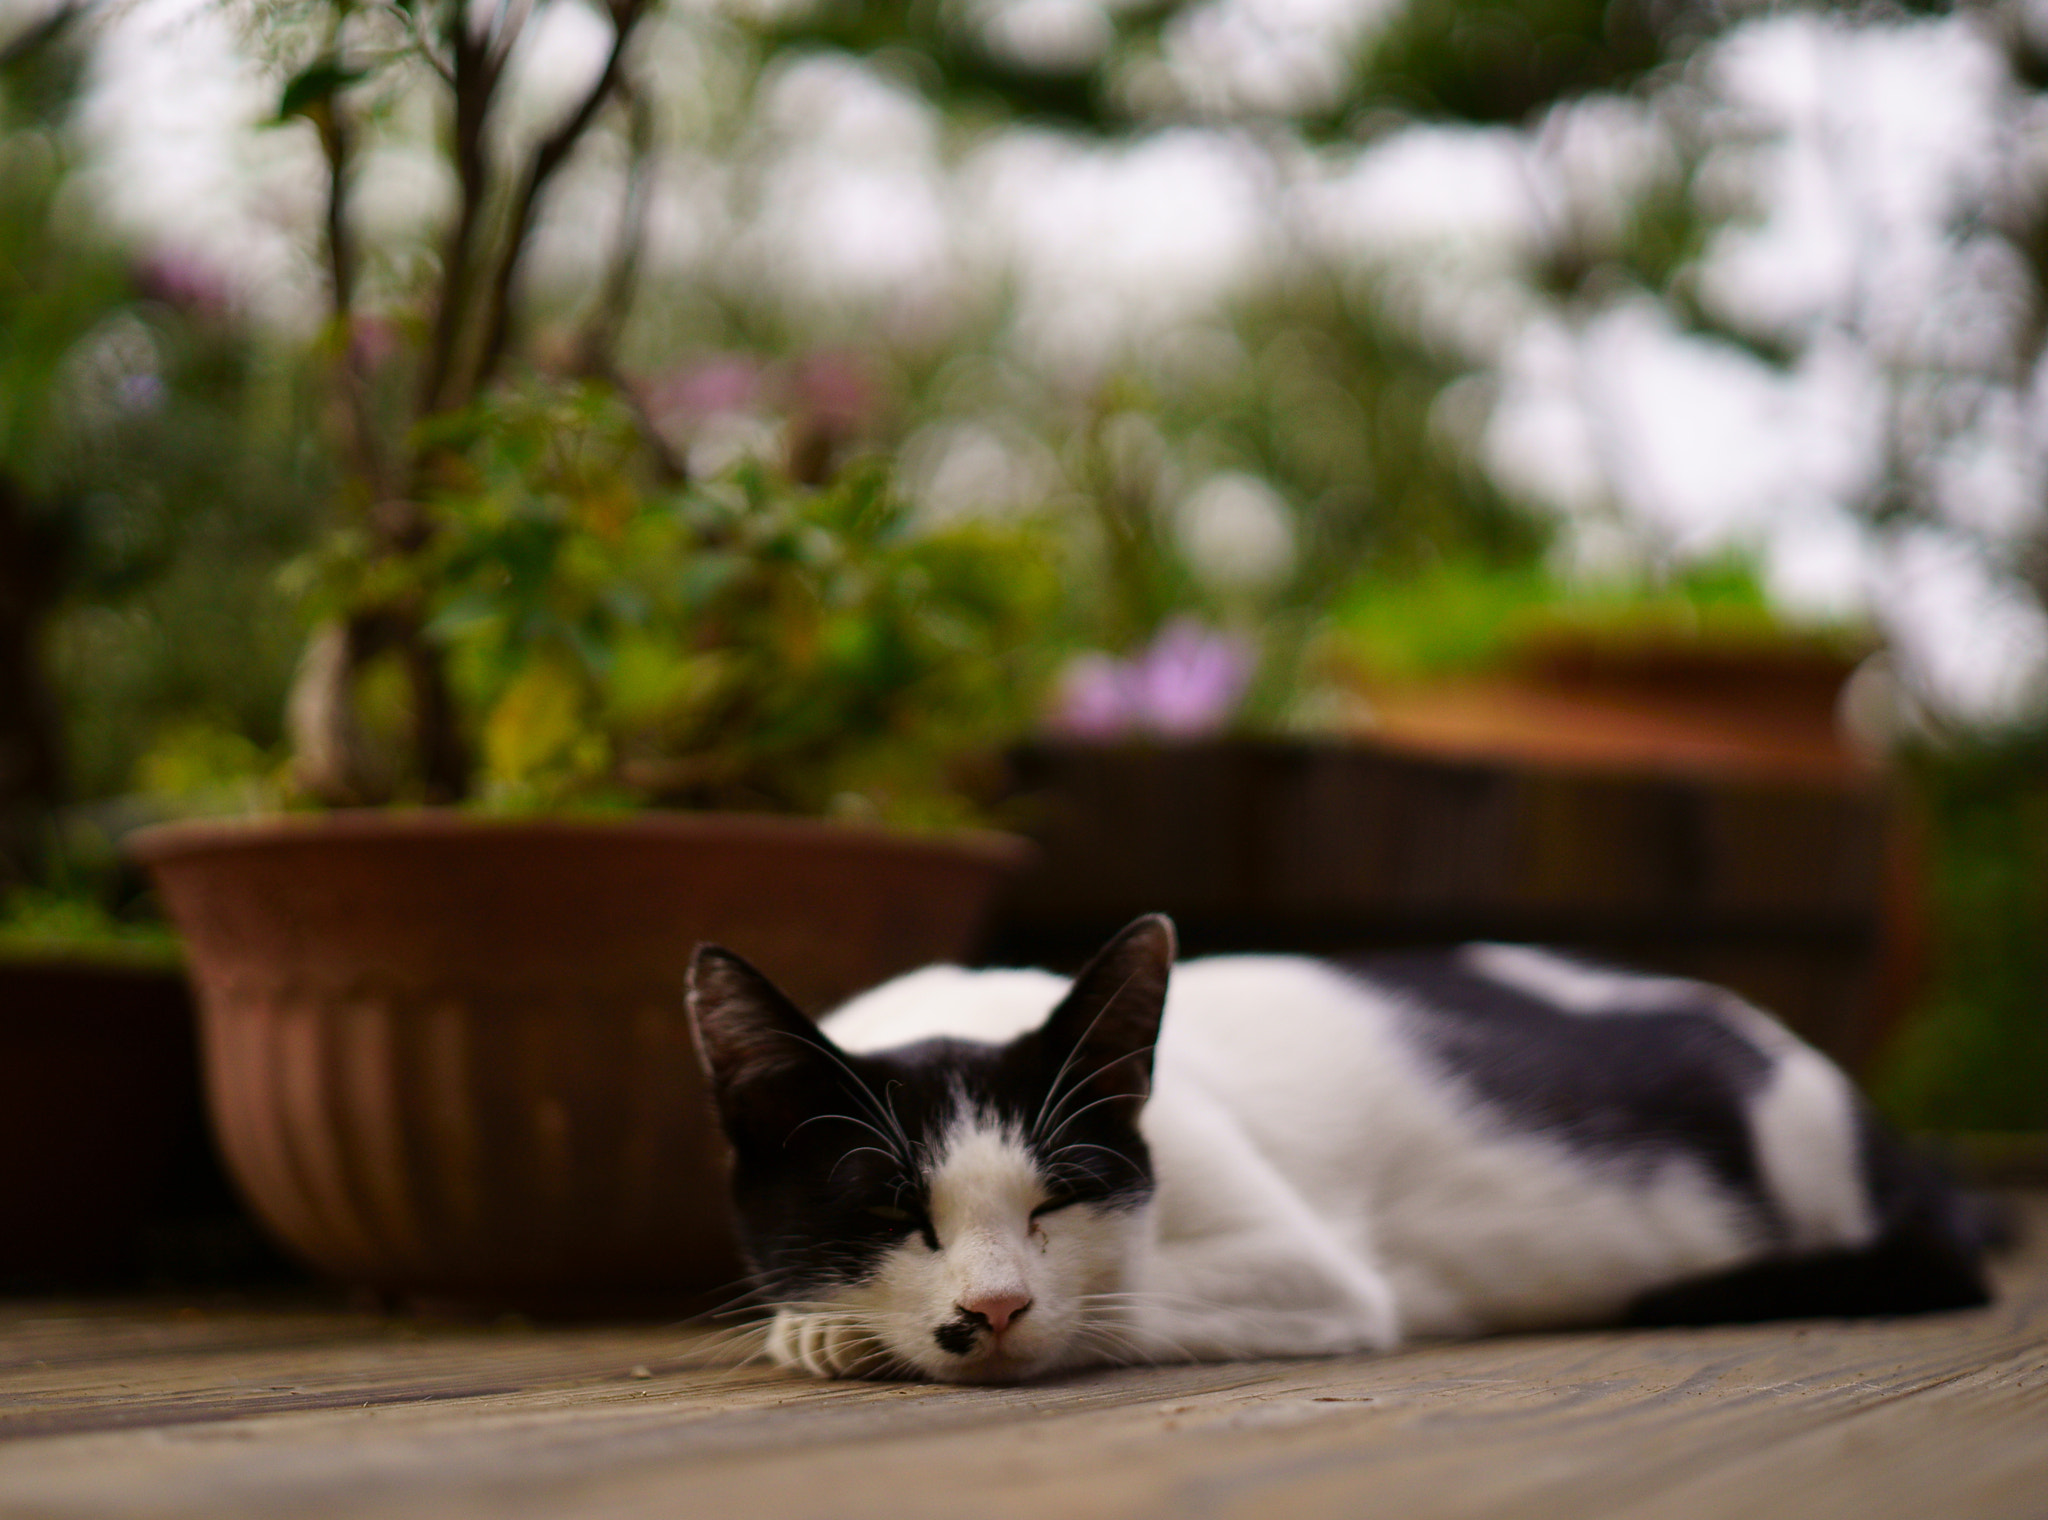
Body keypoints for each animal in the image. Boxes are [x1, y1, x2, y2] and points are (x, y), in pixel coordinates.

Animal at [684, 909, 1982, 1384]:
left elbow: (1125, 1302)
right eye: (889, 1210)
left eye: (1056, 1200)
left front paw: (833, 1330)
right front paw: (817, 1319)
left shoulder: (1309, 1270)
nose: (995, 1306)